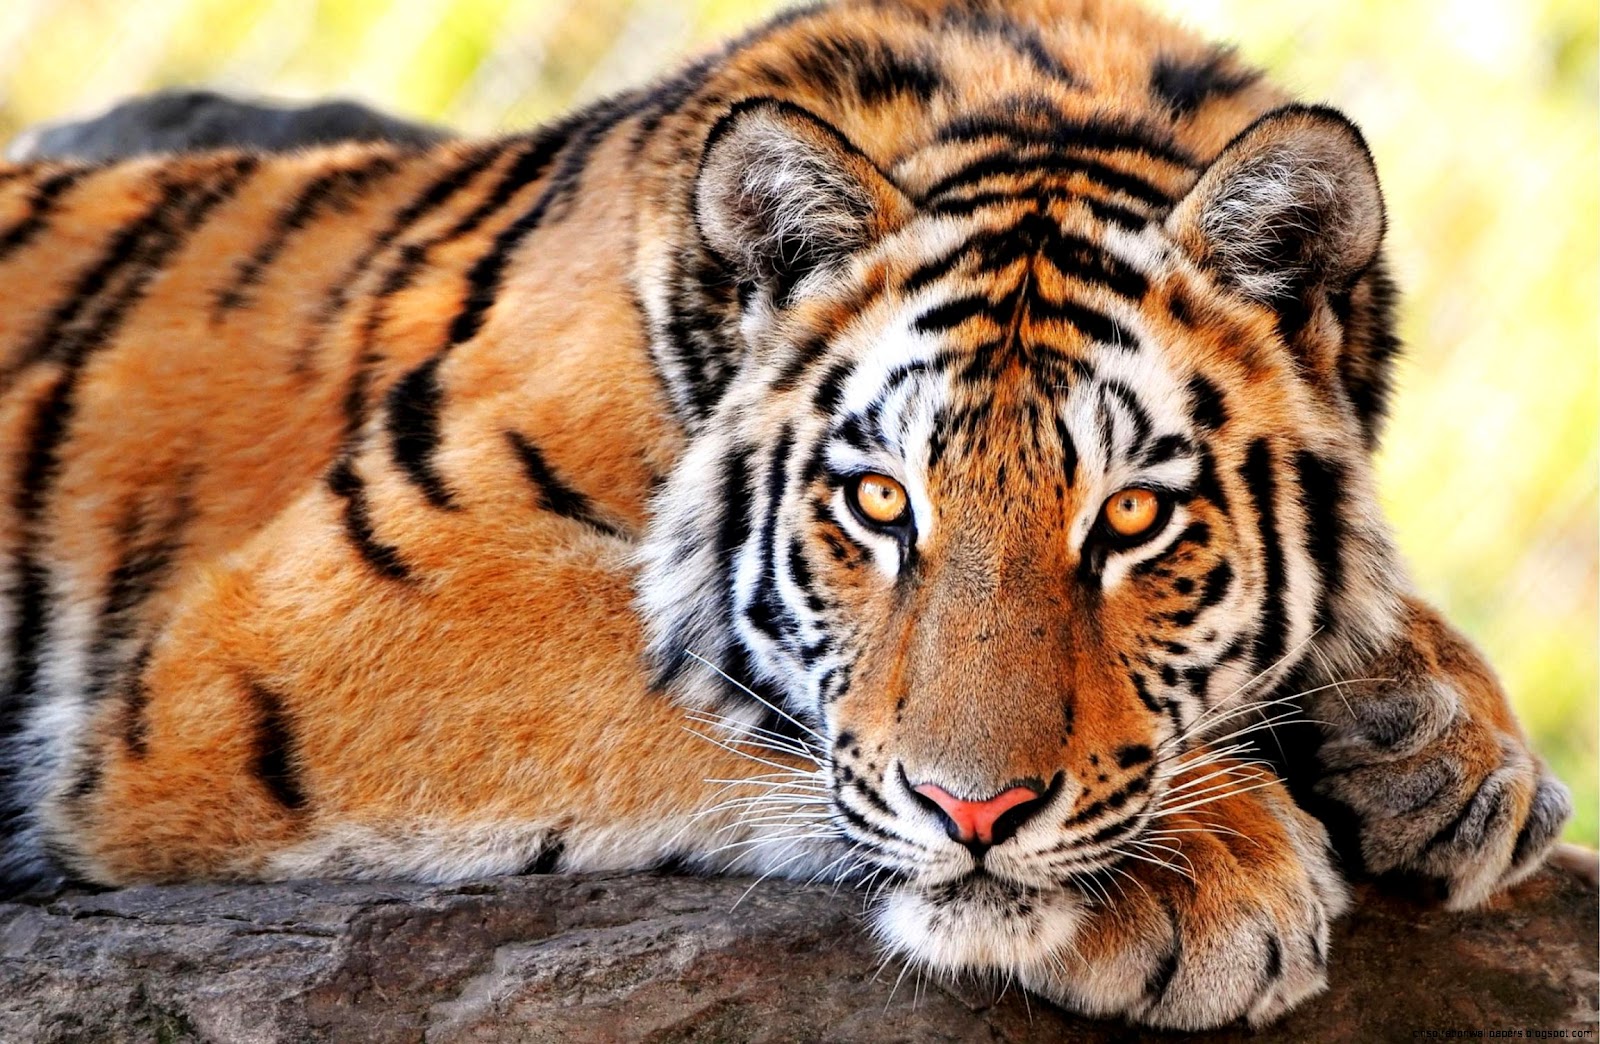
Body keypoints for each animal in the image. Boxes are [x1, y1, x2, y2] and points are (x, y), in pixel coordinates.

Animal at [0, 0, 1573, 1030]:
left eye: (1131, 520)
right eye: (879, 502)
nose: (977, 813)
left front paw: (1444, 746)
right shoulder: (307, 629)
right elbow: (728, 700)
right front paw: (1210, 869)